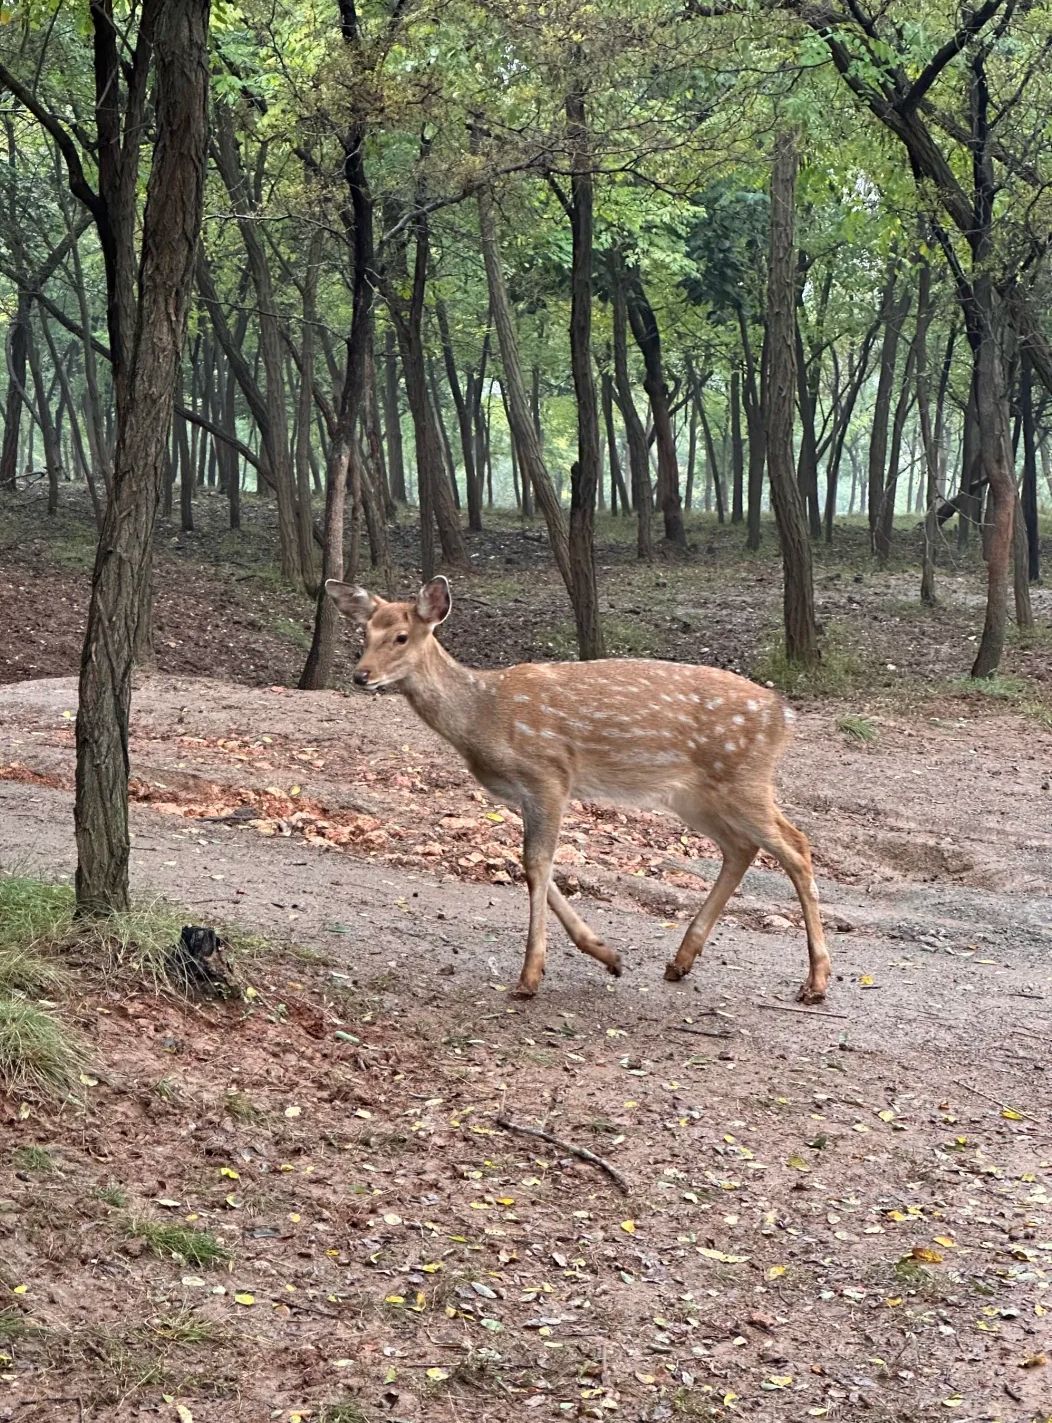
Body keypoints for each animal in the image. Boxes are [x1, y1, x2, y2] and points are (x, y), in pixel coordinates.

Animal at [325, 576, 831, 1005]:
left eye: (401, 636)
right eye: (364, 632)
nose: (360, 675)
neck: (483, 717)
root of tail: (784, 715)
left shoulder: (549, 774)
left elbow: (537, 865)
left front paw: (529, 977)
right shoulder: (522, 793)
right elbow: (535, 866)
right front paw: (608, 955)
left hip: (741, 777)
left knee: (796, 847)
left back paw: (815, 982)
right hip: (695, 794)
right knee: (742, 847)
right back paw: (680, 962)